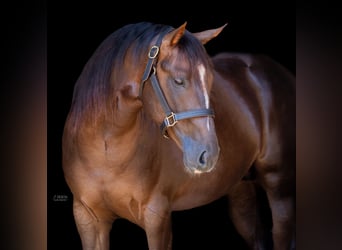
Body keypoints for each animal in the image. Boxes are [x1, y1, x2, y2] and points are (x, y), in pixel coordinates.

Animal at [62, 22, 296, 250]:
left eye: (211, 80)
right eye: (178, 81)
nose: (208, 155)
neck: (106, 148)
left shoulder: (157, 218)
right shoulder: (88, 220)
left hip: (279, 187)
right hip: (241, 189)